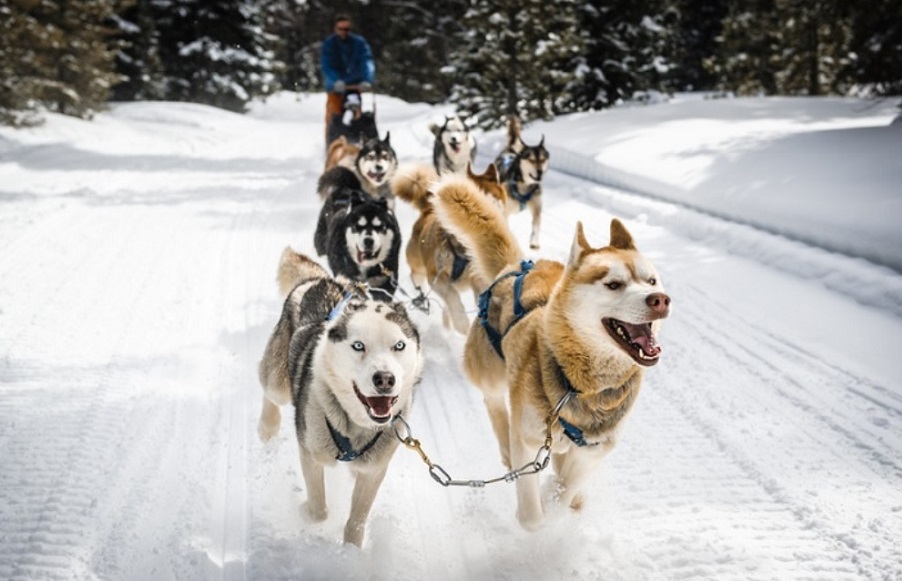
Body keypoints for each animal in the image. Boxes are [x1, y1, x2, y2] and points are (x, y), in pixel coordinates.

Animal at [254, 247, 424, 548]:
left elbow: (357, 520)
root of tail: (325, 279)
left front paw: (352, 551)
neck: (355, 426)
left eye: (399, 345)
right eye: (358, 346)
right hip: (278, 381)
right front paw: (305, 511)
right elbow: (319, 509)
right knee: (269, 389)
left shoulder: (373, 470)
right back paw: (267, 427)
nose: (385, 379)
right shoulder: (310, 452)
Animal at [430, 181, 672, 532]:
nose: (660, 299)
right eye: (613, 284)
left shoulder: (594, 451)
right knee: (495, 405)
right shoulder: (529, 441)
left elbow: (567, 485)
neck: (580, 386)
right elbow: (532, 516)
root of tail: (518, 265)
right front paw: (541, 505)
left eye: (651, 280)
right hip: (491, 373)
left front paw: (562, 495)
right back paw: (506, 444)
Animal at [494, 114, 552, 248]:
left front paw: (534, 241)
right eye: (531, 160)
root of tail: (510, 149)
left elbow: (536, 224)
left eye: (542, 159)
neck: (524, 185)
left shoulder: (536, 206)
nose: (540, 172)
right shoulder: (504, 211)